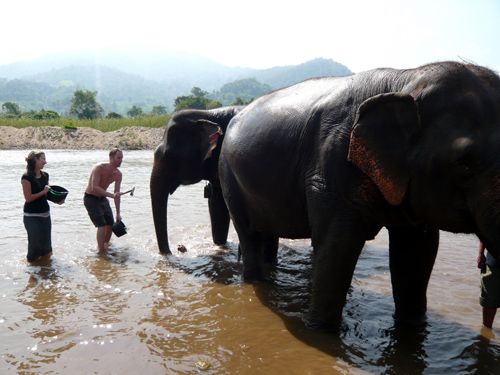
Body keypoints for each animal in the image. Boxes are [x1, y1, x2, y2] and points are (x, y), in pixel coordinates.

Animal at [220, 62, 500, 332]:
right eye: (464, 163)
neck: (406, 79)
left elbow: (417, 252)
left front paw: (413, 330)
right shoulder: (330, 164)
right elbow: (338, 245)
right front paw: (320, 333)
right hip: (228, 174)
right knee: (248, 232)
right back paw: (256, 282)